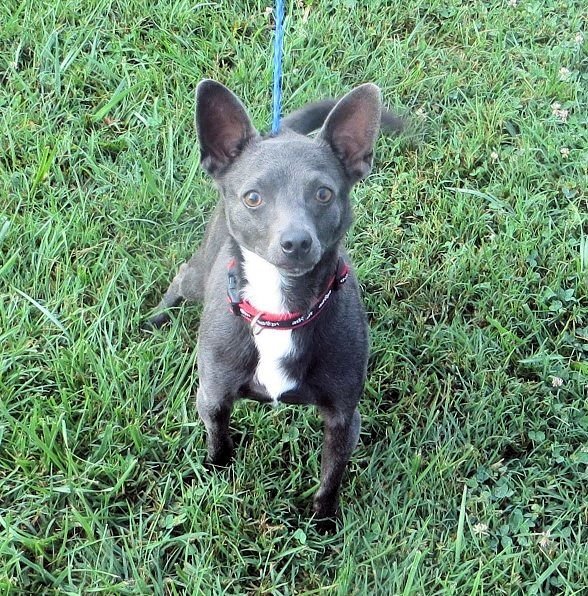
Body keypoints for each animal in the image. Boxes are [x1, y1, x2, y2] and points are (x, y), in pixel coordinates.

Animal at [147, 80, 402, 528]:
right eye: (253, 198)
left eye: (324, 194)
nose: (296, 242)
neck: (281, 308)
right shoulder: (211, 398)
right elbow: (219, 441)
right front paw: (218, 474)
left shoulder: (344, 419)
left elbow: (331, 475)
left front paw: (324, 523)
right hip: (199, 272)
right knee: (180, 275)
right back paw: (157, 316)